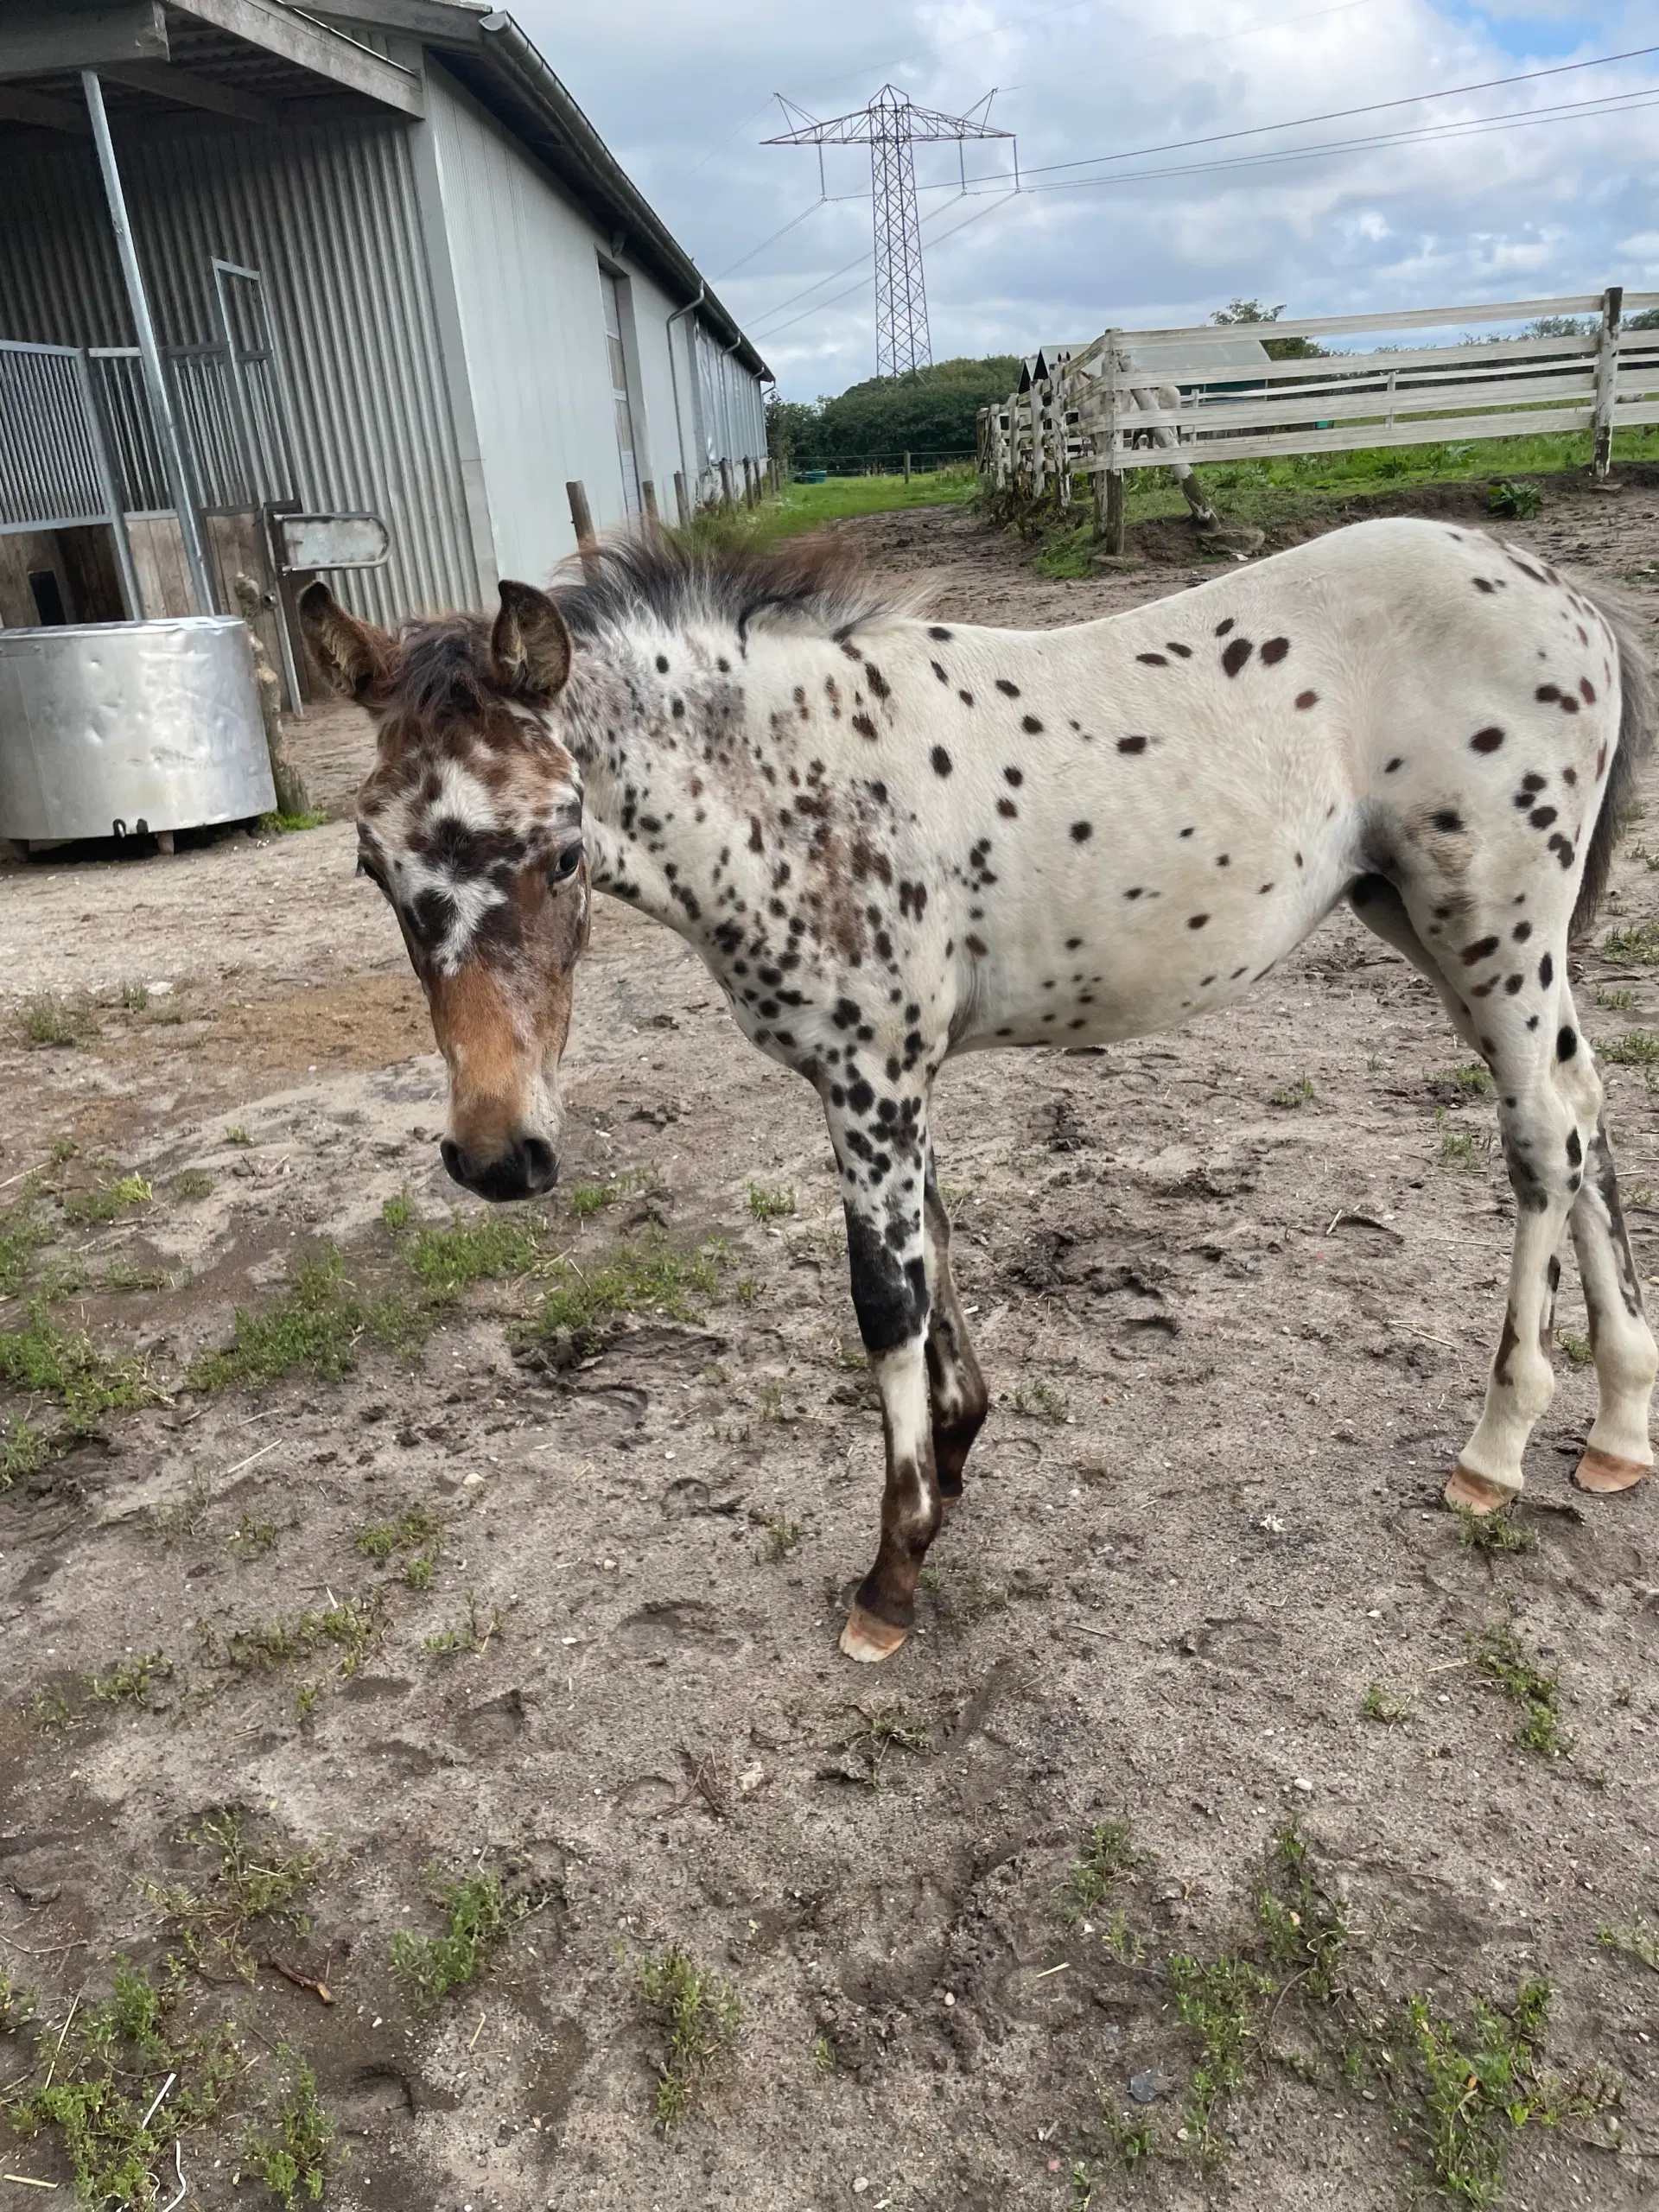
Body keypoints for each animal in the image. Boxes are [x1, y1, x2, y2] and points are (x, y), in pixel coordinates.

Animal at [302, 518, 1659, 1663]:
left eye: (564, 848)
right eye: (372, 862)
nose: (497, 1154)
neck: (794, 784)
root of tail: (1565, 593)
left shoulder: (870, 1078)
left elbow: (884, 1299)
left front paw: (894, 1575)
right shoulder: (891, 1081)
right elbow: (937, 1255)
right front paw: (954, 1460)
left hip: (1493, 929)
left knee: (1541, 1136)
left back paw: (1497, 1448)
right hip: (1431, 927)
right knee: (1588, 1110)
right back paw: (1619, 1429)